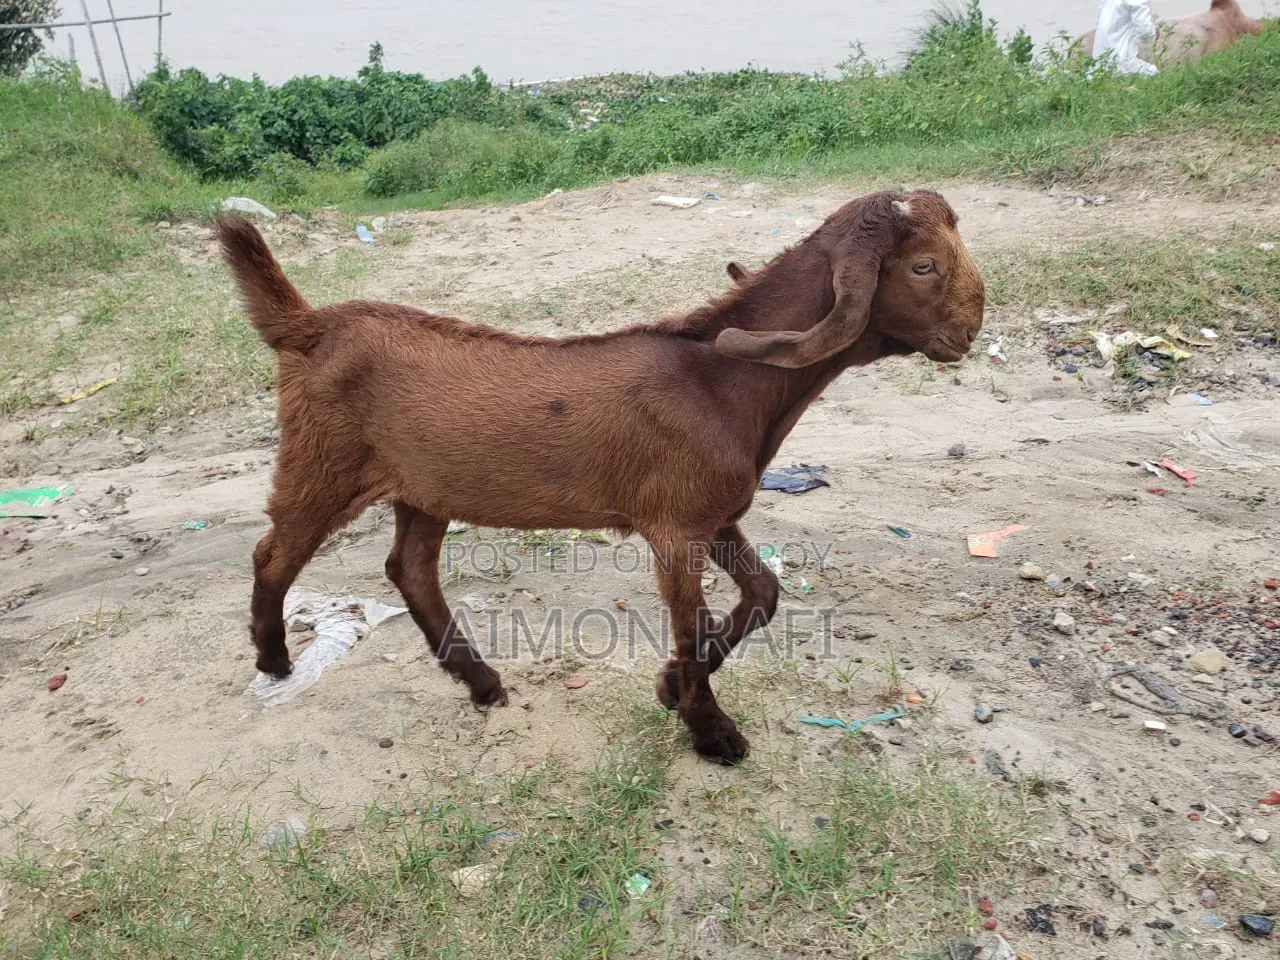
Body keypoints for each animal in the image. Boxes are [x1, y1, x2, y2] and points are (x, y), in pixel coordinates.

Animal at [217, 188, 985, 765]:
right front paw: (712, 732)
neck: (719, 380)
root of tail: (310, 324)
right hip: (321, 462)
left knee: (409, 568)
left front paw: (674, 687)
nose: (971, 332)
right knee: (273, 553)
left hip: (422, 487)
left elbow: (764, 593)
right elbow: (690, 624)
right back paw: (274, 658)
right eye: (922, 266)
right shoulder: (675, 528)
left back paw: (480, 681)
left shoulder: (716, 513)